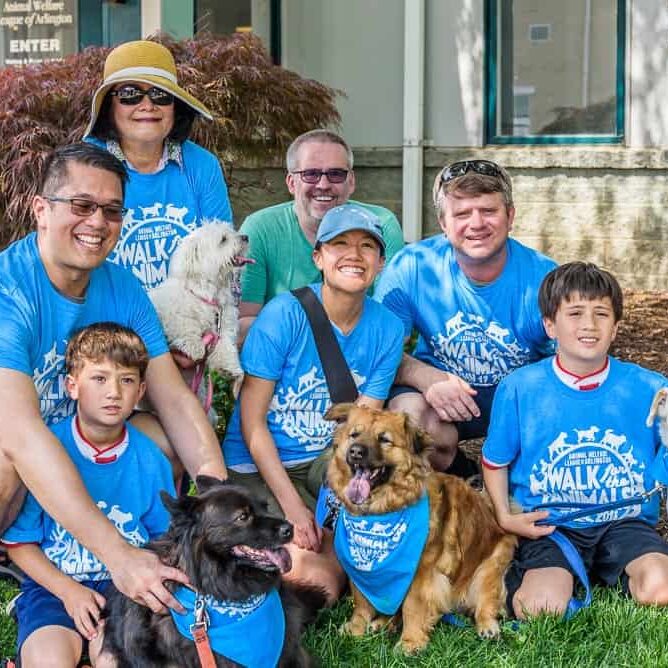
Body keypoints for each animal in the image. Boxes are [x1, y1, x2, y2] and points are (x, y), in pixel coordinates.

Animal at [149, 224, 250, 400]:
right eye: (223, 239)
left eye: (233, 232)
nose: (245, 237)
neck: (207, 296)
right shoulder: (168, 310)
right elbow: (184, 324)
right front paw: (194, 345)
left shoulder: (222, 326)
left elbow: (226, 347)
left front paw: (231, 370)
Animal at [326, 402, 520, 652]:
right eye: (354, 435)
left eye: (384, 439)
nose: (356, 451)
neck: (381, 512)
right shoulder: (360, 571)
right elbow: (361, 602)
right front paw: (356, 628)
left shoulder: (423, 573)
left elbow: (412, 607)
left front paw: (410, 643)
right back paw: (382, 623)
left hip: (489, 567)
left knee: (487, 602)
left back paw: (488, 626)